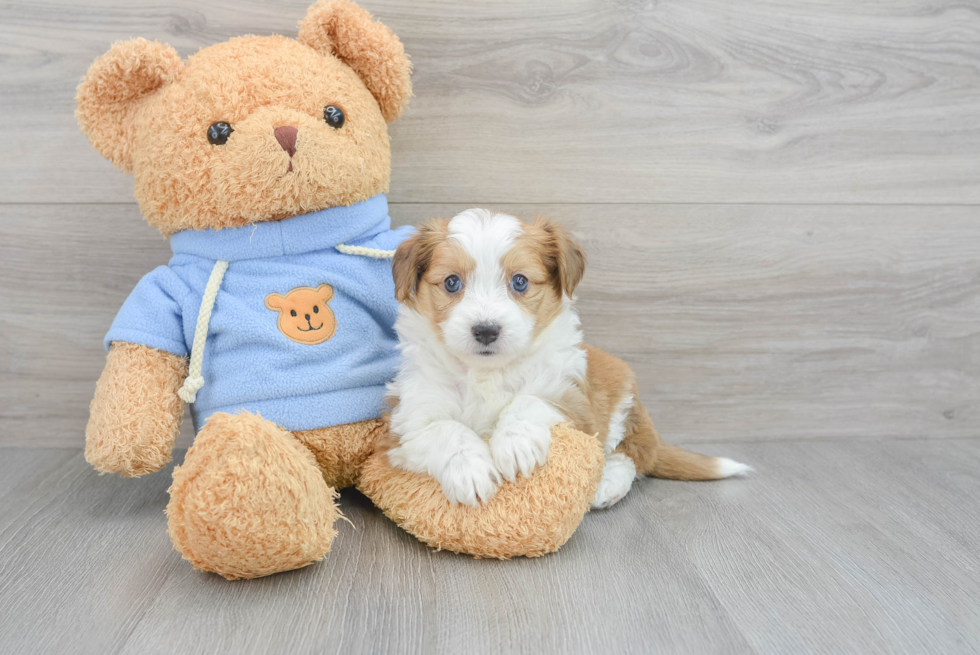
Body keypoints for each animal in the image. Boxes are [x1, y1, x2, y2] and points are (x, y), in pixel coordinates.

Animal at [384, 210, 752, 508]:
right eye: (451, 282)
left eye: (520, 281)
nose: (486, 330)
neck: (488, 371)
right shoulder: (408, 422)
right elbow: (446, 429)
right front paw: (469, 470)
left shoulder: (573, 401)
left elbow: (529, 400)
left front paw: (515, 444)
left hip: (622, 405)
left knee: (633, 454)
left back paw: (608, 485)